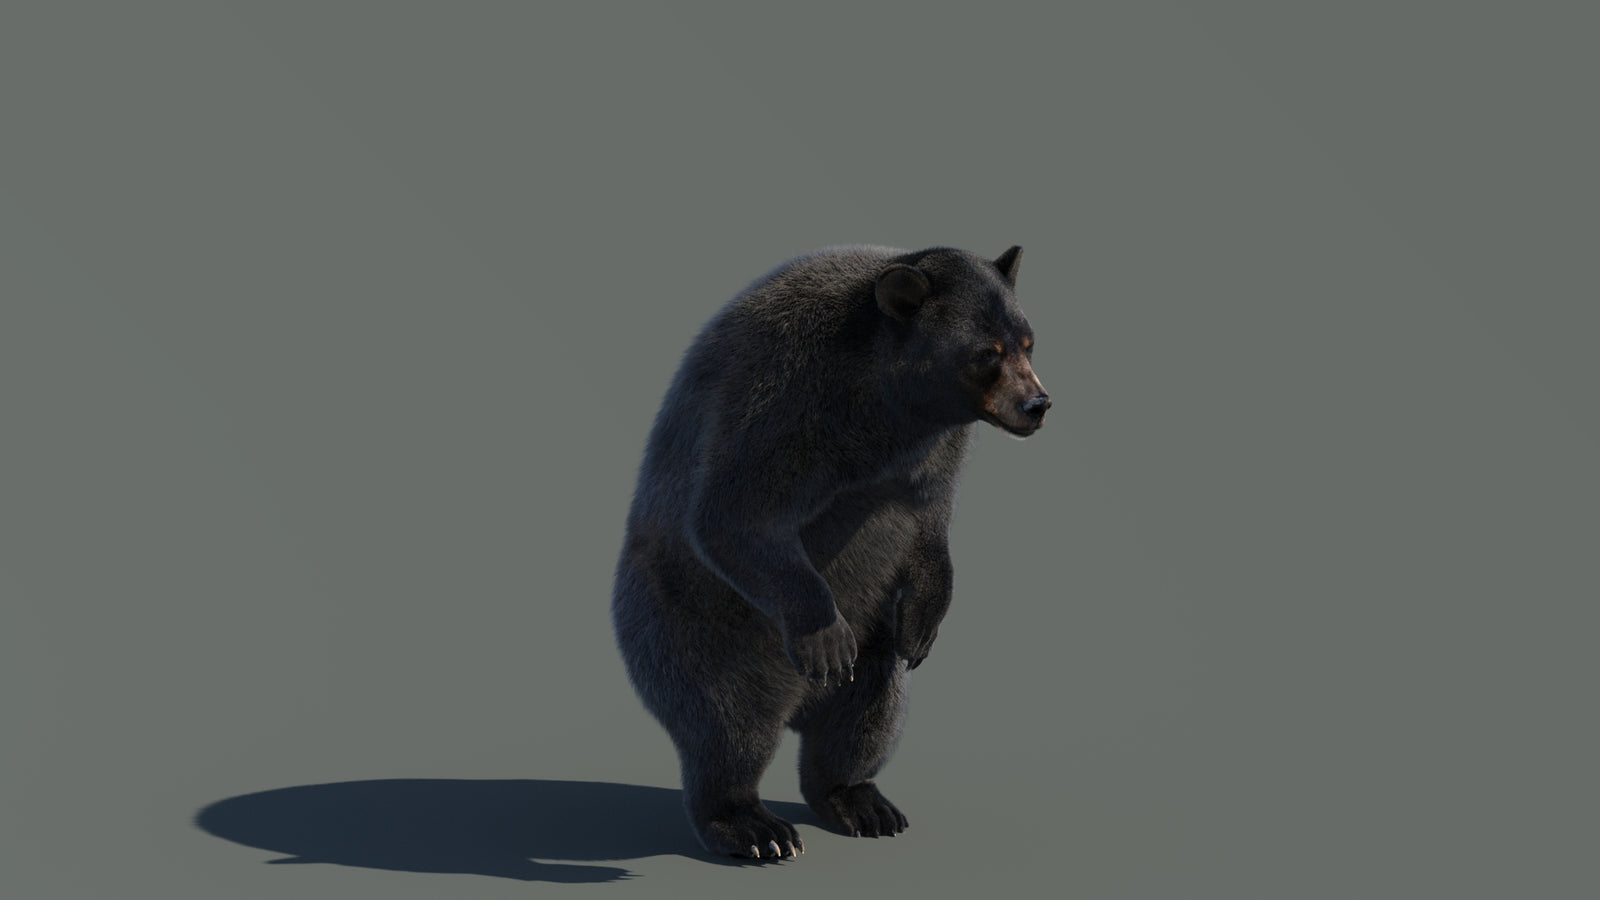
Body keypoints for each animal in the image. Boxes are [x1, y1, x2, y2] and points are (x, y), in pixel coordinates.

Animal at [611, 244, 1049, 860]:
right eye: (988, 352)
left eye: (1028, 341)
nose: (1038, 403)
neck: (887, 408)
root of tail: (797, 706)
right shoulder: (787, 397)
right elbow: (734, 514)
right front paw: (826, 638)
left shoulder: (937, 449)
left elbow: (930, 523)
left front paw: (925, 623)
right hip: (693, 627)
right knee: (727, 725)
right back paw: (753, 827)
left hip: (875, 640)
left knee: (868, 710)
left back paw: (861, 800)